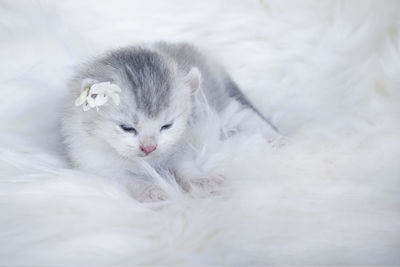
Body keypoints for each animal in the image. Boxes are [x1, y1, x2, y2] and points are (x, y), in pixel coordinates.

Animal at [61, 41, 280, 201]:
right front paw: (153, 192)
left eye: (166, 126)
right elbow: (130, 181)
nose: (149, 148)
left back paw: (275, 139)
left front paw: (202, 181)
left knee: (242, 116)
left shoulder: (181, 146)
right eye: (127, 128)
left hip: (216, 105)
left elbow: (185, 167)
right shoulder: (100, 167)